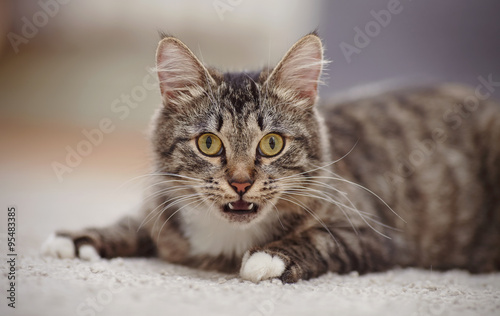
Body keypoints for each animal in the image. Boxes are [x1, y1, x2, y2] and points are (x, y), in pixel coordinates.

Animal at [43, 32, 500, 282]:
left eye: (271, 144)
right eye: (209, 144)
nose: (241, 182)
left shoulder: (373, 233)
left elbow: (319, 239)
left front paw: (267, 259)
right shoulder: (161, 206)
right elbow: (130, 223)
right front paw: (76, 241)